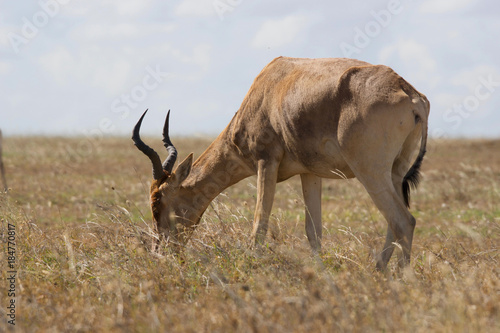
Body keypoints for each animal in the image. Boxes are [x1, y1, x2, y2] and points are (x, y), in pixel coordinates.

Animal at [133, 56, 430, 270]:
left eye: (157, 203)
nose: (160, 253)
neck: (268, 86)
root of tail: (409, 92)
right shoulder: (311, 173)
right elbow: (313, 231)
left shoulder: (266, 163)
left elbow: (259, 224)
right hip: (395, 172)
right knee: (395, 221)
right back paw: (380, 269)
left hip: (369, 171)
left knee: (404, 221)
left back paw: (398, 278)